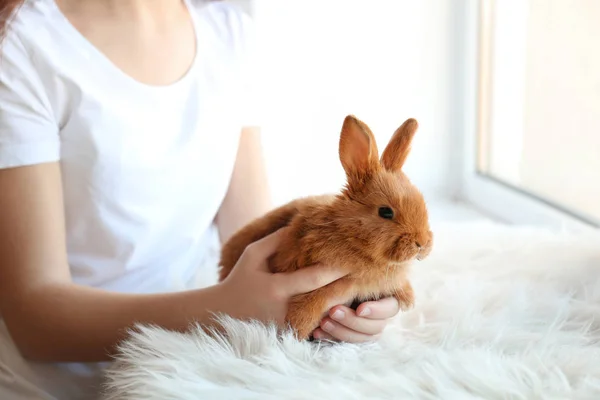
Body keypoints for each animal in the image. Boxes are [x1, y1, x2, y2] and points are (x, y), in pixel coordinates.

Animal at [218, 114, 434, 340]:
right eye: (385, 212)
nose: (422, 243)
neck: (347, 233)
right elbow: (313, 300)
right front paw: (297, 330)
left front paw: (408, 299)